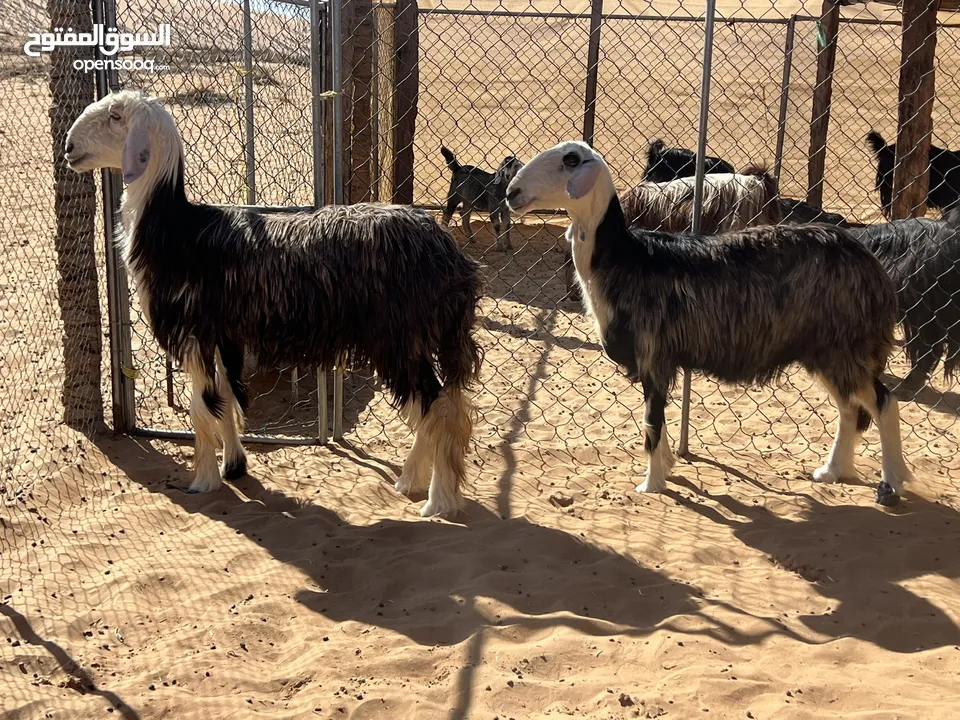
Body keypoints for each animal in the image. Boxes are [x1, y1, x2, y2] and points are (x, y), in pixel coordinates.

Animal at [66, 90, 484, 516]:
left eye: (116, 117)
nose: (68, 148)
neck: (175, 229)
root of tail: (450, 255)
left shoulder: (194, 331)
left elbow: (202, 407)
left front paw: (203, 481)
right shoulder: (225, 335)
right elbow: (228, 398)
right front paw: (234, 467)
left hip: (400, 337)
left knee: (438, 407)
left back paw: (438, 500)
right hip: (416, 338)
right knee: (437, 405)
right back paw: (410, 480)